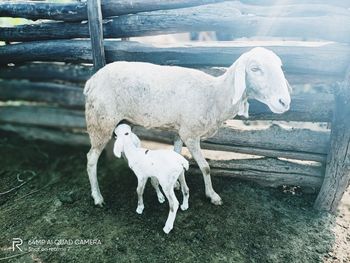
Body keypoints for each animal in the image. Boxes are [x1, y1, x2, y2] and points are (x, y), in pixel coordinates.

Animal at [83, 47, 292, 208]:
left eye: (280, 67)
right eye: (255, 68)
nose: (284, 102)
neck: (215, 96)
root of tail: (92, 80)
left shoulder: (179, 131)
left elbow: (177, 156)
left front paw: (175, 182)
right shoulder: (190, 134)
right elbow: (205, 167)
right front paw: (212, 195)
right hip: (100, 122)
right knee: (91, 159)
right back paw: (98, 197)